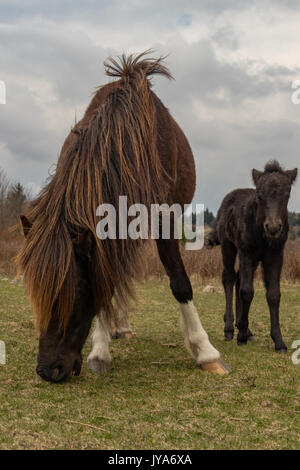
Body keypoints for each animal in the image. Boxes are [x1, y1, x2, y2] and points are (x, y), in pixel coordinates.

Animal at [16, 51, 229, 382]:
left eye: (72, 293)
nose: (48, 370)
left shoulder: (164, 220)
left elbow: (180, 282)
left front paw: (206, 351)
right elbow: (107, 277)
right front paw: (100, 350)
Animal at [206, 162, 298, 352]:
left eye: (287, 195)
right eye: (260, 196)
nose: (273, 227)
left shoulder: (275, 257)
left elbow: (273, 294)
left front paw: (279, 341)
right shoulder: (247, 253)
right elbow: (247, 291)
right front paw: (240, 336)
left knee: (239, 279)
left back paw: (245, 329)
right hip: (229, 247)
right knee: (229, 278)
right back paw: (230, 328)